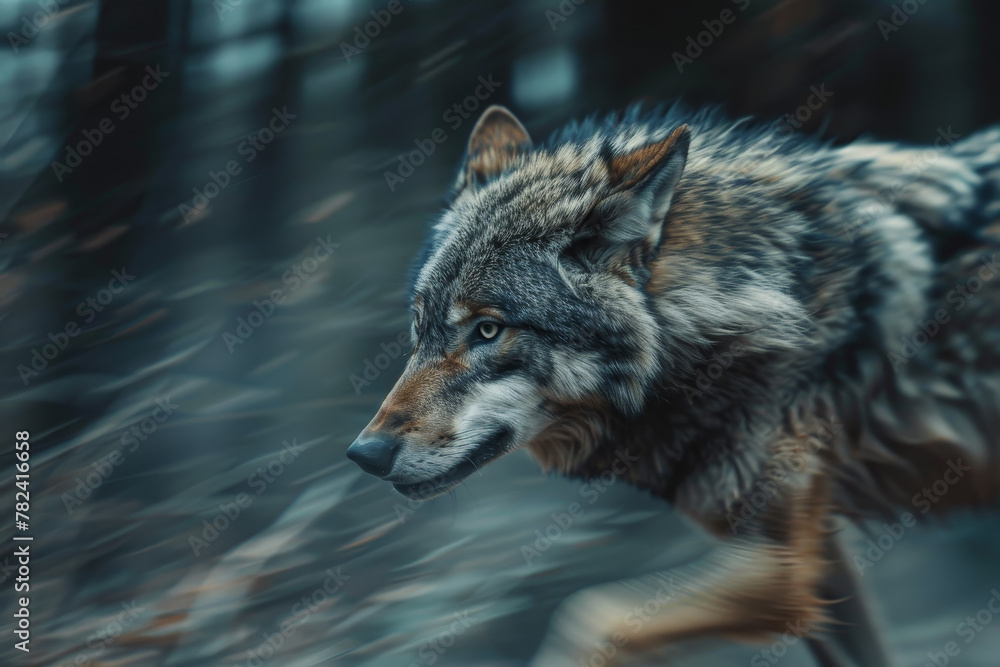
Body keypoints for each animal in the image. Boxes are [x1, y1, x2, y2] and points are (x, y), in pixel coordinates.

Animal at [347, 103, 1000, 666]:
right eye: (420, 328)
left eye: (487, 330)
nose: (364, 454)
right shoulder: (815, 567)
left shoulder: (783, 570)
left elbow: (587, 616)